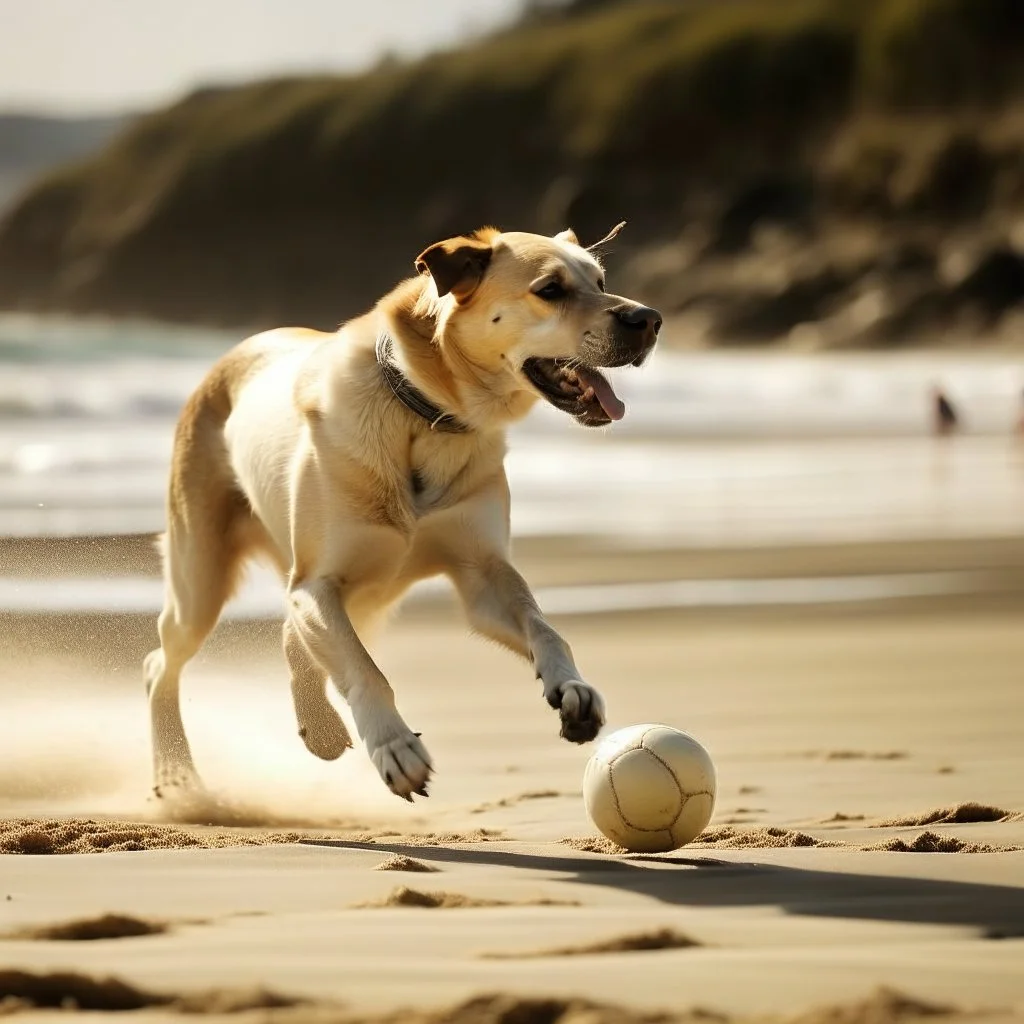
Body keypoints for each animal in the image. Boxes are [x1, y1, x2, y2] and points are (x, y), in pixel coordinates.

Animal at [146, 224, 663, 798]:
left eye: (600, 281)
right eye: (550, 290)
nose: (649, 320)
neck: (429, 414)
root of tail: (233, 352)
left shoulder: (482, 573)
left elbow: (545, 627)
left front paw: (572, 687)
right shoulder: (319, 581)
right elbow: (366, 671)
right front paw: (394, 747)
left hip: (363, 599)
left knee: (291, 638)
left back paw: (318, 727)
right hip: (202, 577)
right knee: (160, 664)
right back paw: (177, 772)